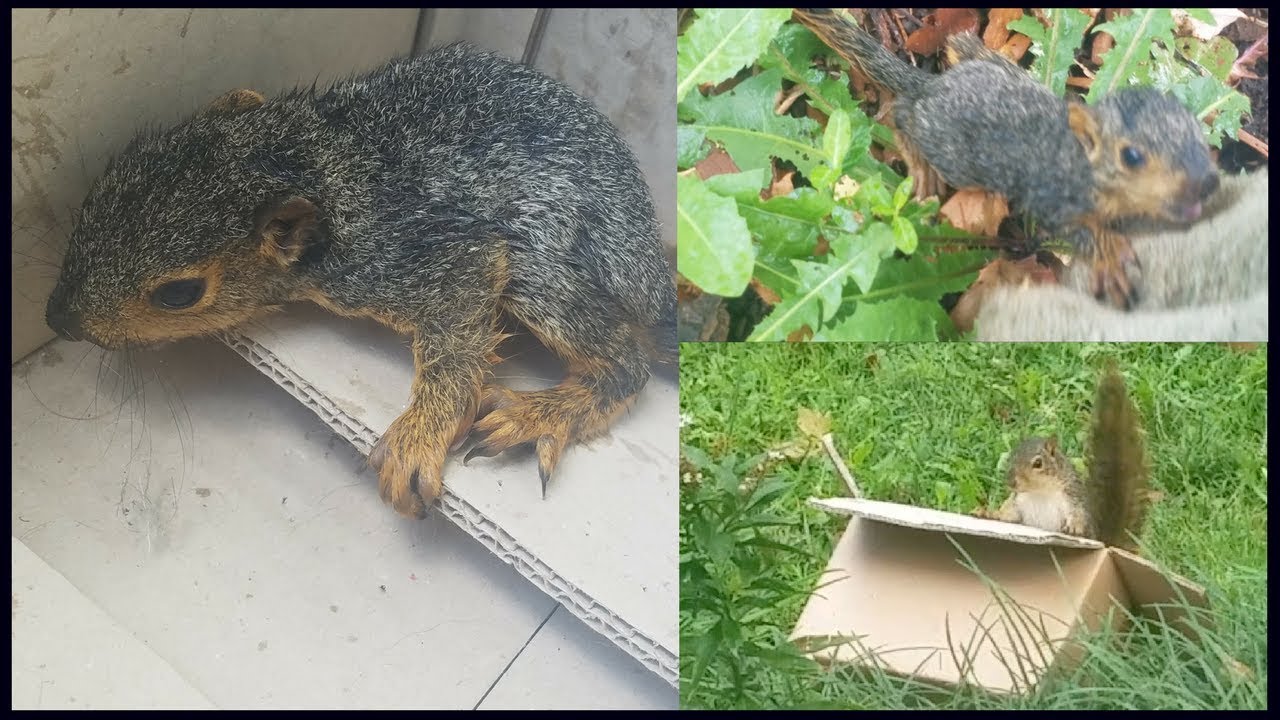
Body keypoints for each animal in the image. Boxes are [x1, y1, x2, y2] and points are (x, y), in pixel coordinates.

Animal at [43, 42, 677, 518]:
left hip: (545, 272)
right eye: (98, 194)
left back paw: (540, 413)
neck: (323, 160)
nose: (57, 318)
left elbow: (460, 332)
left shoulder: (418, 255)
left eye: (179, 293)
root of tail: (654, 271)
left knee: (627, 363)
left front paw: (420, 438)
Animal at [791, 8, 1221, 309]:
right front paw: (1110, 253)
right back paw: (920, 162)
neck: (1082, 164)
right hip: (950, 150)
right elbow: (1076, 230)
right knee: (902, 113)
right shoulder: (1050, 198)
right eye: (1130, 156)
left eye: (1196, 132)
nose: (1209, 183)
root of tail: (933, 85)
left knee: (959, 47)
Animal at [976, 362, 1150, 551]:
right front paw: (988, 512)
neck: (1040, 492)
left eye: (1038, 463)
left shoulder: (1074, 498)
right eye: (1011, 456)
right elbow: (1008, 516)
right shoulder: (1017, 504)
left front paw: (1074, 526)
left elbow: (1080, 517)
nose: (1011, 483)